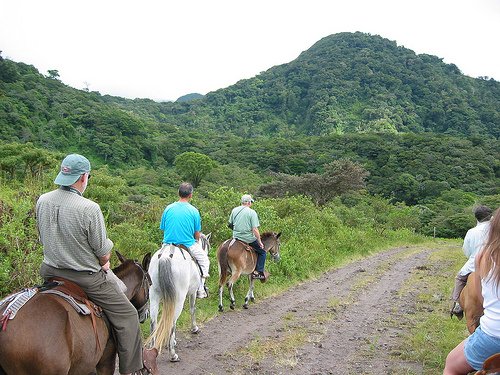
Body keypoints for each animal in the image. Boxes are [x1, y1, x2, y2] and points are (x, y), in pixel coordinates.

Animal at [146, 234, 210, 362]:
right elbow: (192, 309)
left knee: (153, 322)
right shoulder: (192, 293)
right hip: (179, 298)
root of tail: (165, 257)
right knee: (172, 322)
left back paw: (152, 349)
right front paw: (194, 328)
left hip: (154, 295)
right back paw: (173, 355)